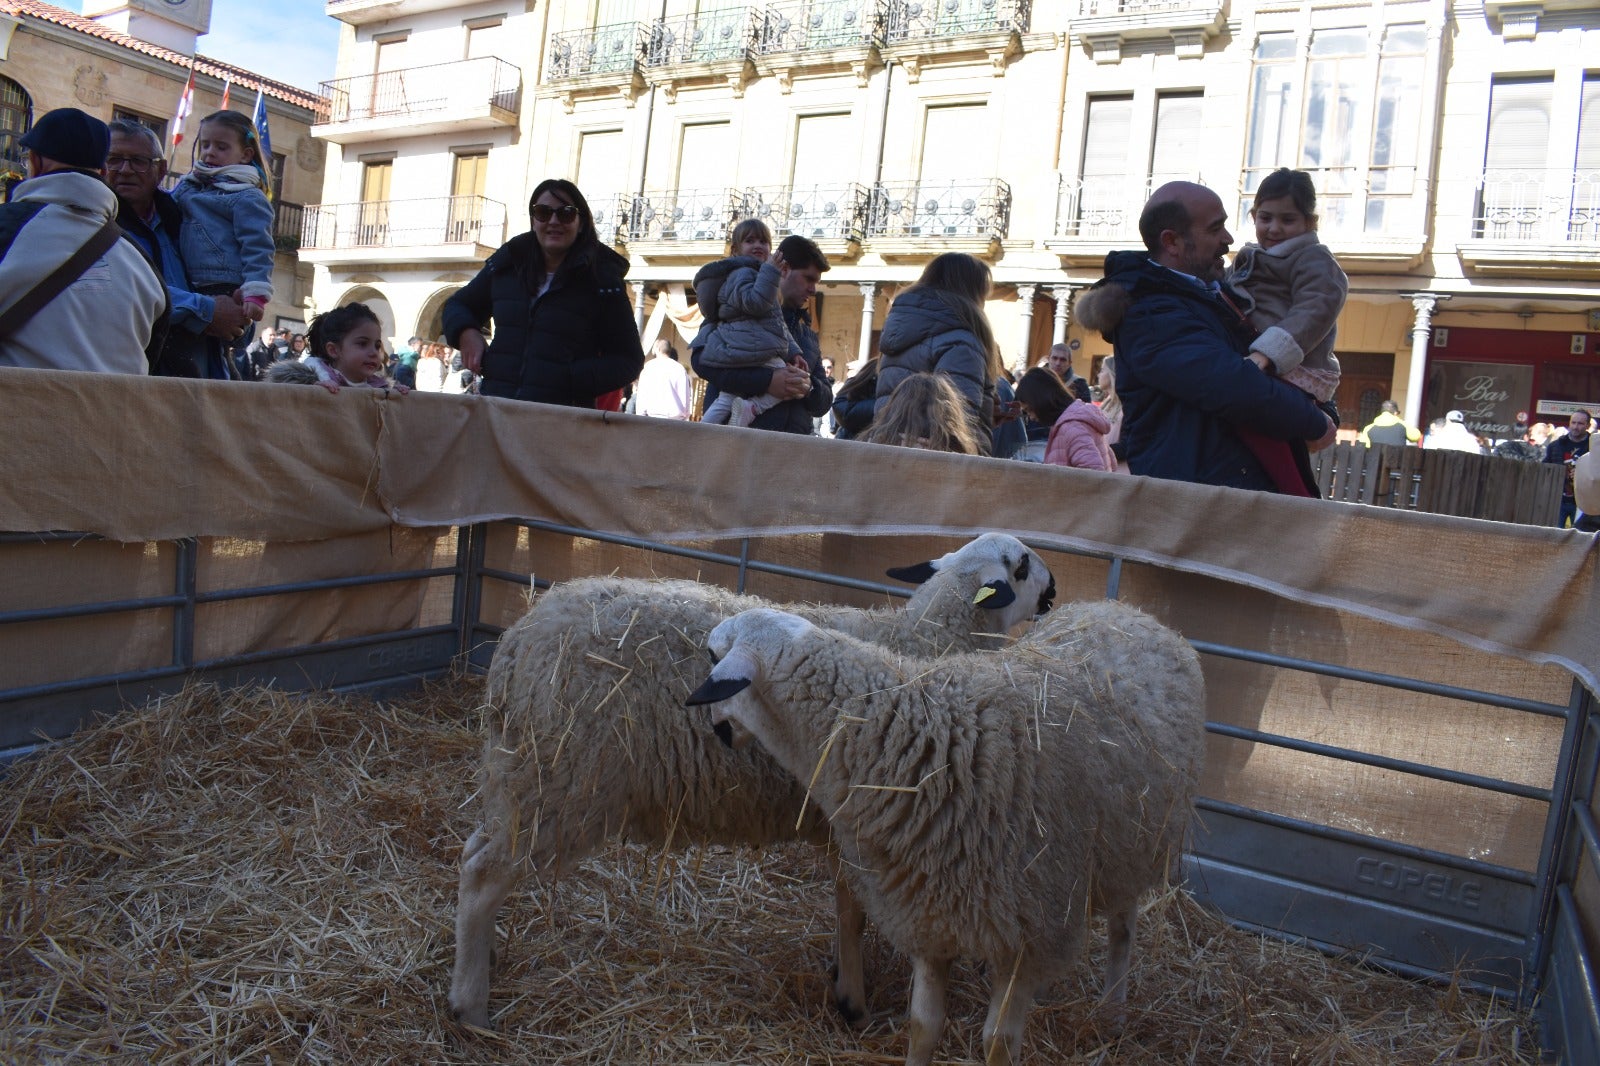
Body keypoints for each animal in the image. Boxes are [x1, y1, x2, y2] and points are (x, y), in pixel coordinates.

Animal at [451, 534, 1056, 1024]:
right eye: (1024, 564)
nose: (1056, 589)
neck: (920, 643)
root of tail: (516, 644)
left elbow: (846, 907)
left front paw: (841, 977)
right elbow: (854, 914)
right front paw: (853, 999)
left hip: (523, 776)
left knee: (476, 849)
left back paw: (481, 954)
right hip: (563, 784)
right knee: (483, 874)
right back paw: (470, 1004)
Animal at [684, 598, 1203, 1062]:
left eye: (711, 656)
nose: (715, 729)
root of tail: (1130, 611)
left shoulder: (1028, 930)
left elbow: (997, 1042)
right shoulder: (930, 914)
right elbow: (924, 1025)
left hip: (1135, 846)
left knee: (1123, 930)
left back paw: (1114, 1011)